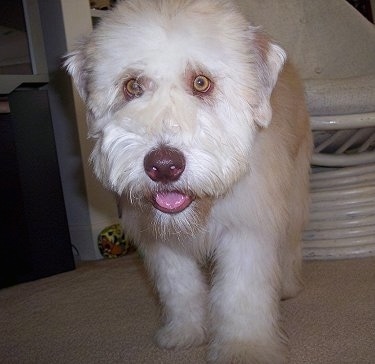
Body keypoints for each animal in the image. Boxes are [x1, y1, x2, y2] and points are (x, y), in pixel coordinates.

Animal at [65, 1, 314, 362]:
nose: (163, 166)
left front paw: (244, 348)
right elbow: (179, 288)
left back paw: (288, 286)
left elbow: (241, 295)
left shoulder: (246, 229)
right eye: (132, 87)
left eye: (200, 82)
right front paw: (185, 333)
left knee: (291, 245)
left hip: (293, 196)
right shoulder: (160, 241)